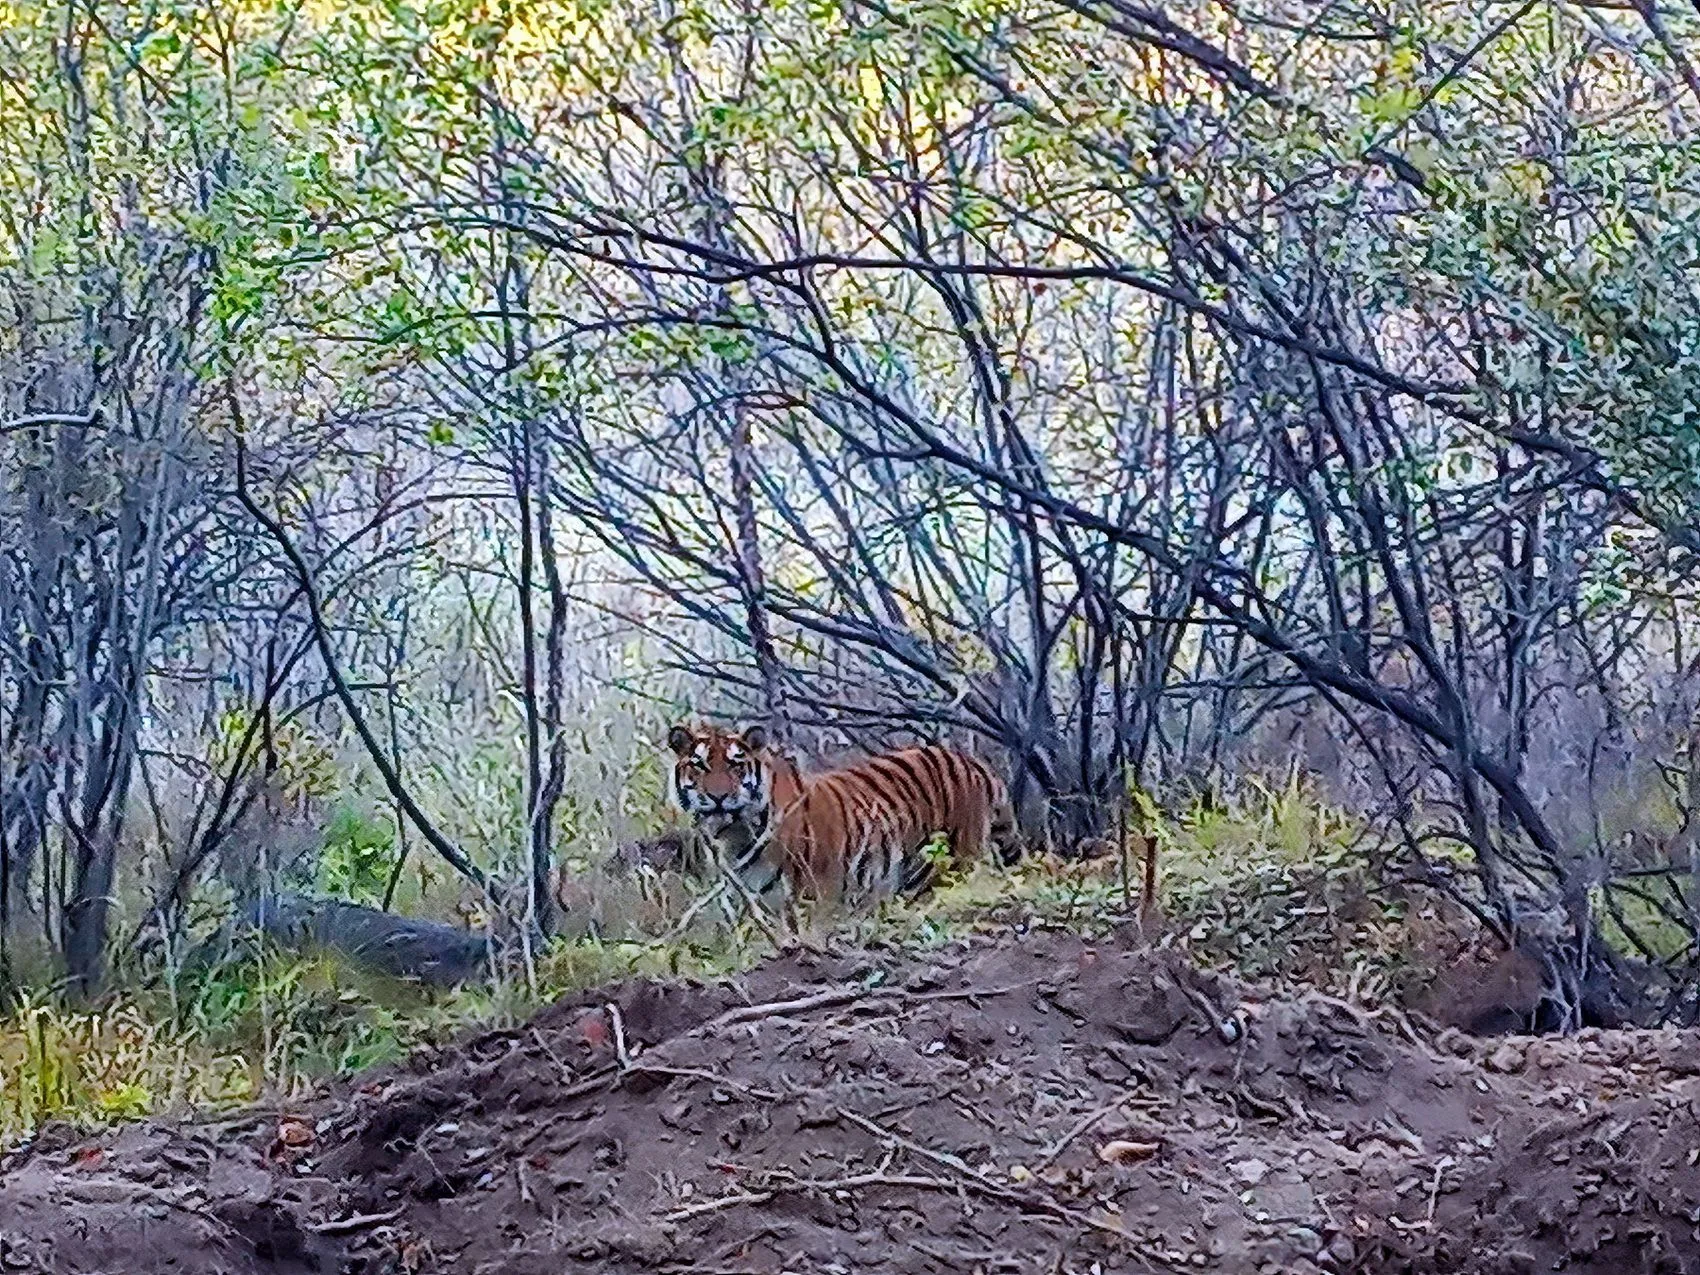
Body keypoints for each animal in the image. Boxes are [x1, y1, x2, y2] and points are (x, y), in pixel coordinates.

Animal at [663, 724, 1006, 911]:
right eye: (700, 766)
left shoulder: (817, 893)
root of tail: (972, 762)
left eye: (735, 766)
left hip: (959, 859)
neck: (733, 834)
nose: (718, 797)